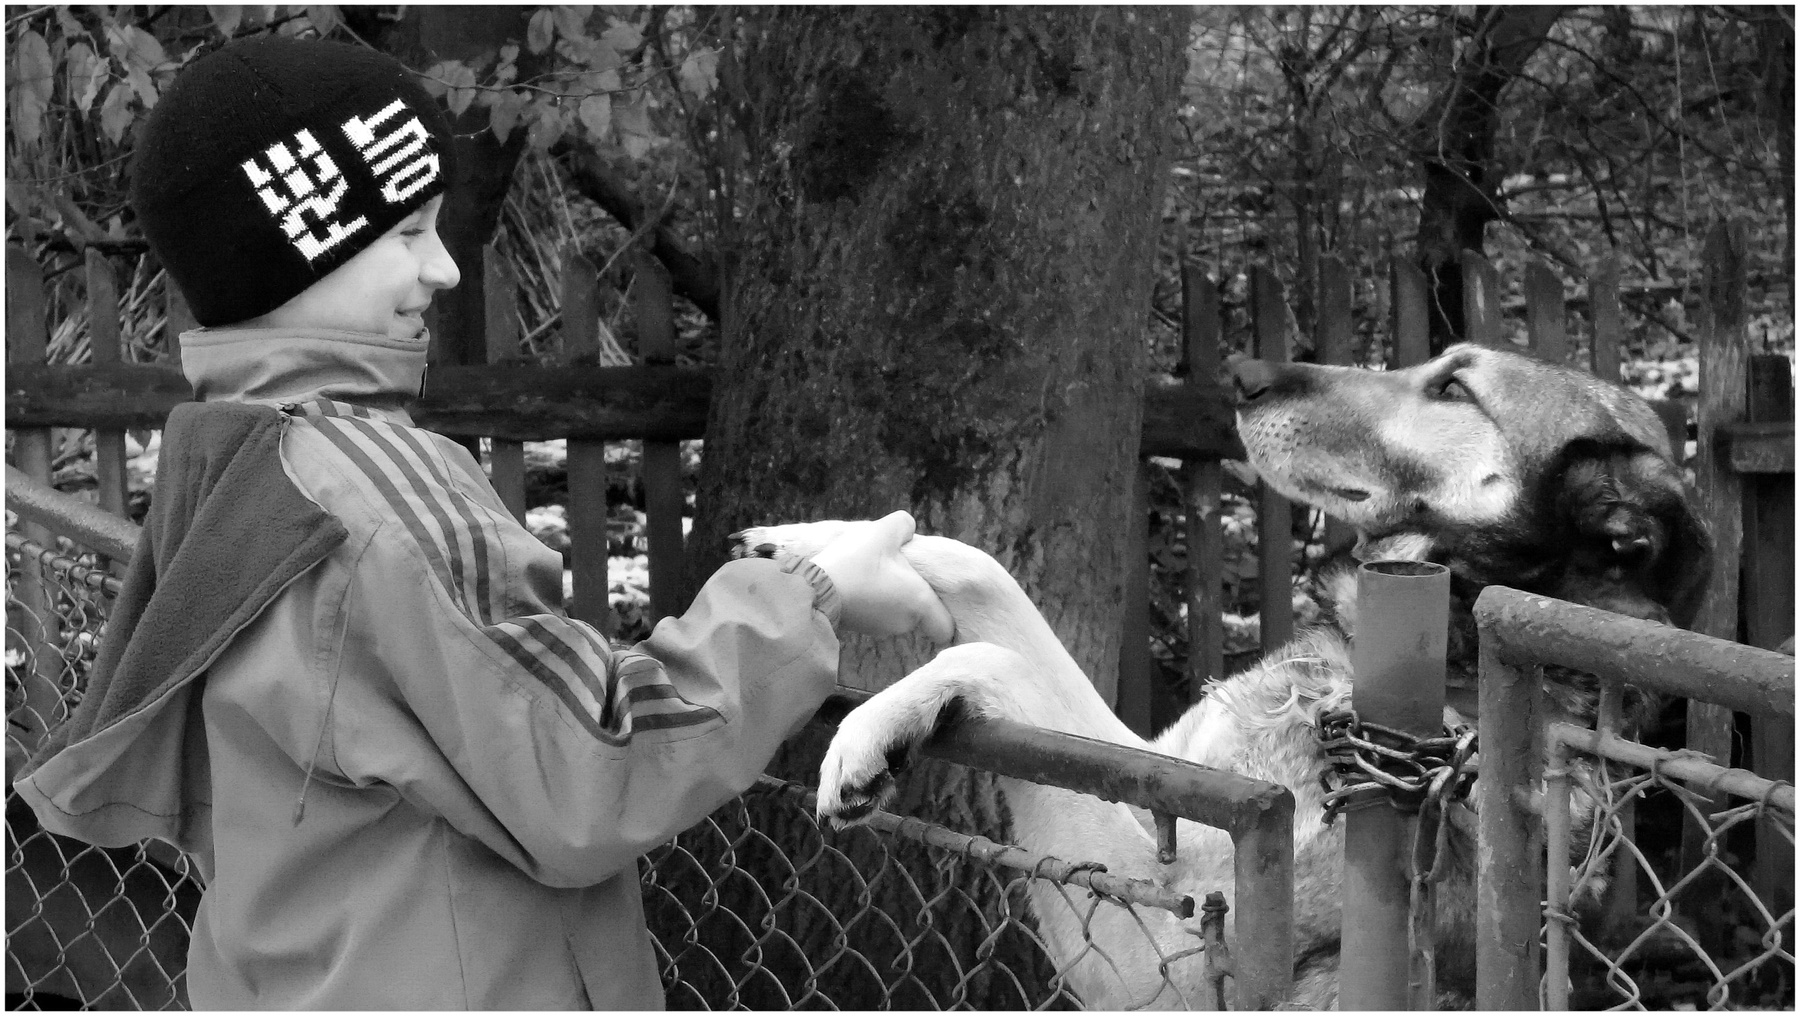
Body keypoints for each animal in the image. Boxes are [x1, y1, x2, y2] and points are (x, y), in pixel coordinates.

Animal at [733, 343, 1711, 1009]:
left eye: (1454, 390)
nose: (1245, 371)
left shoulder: (1158, 950)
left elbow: (996, 656)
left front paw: (868, 733)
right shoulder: (1154, 775)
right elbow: (983, 574)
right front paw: (822, 546)